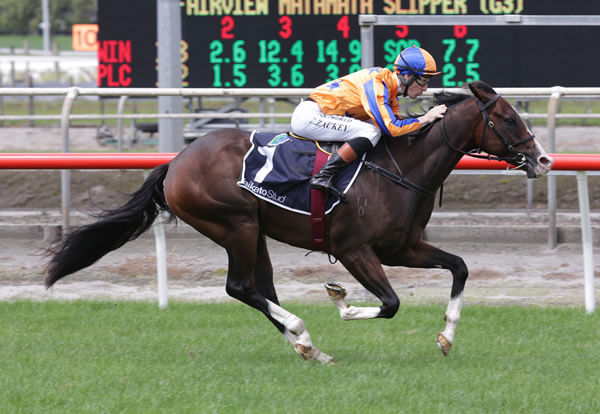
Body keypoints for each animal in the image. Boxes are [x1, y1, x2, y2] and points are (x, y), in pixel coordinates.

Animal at [45, 81, 552, 366]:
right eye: (509, 118)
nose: (543, 159)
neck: (399, 170)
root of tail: (176, 162)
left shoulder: (402, 249)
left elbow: (460, 267)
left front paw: (446, 337)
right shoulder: (354, 250)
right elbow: (389, 304)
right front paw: (342, 301)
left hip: (254, 233)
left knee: (261, 289)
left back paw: (310, 348)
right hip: (235, 225)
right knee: (241, 288)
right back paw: (305, 335)